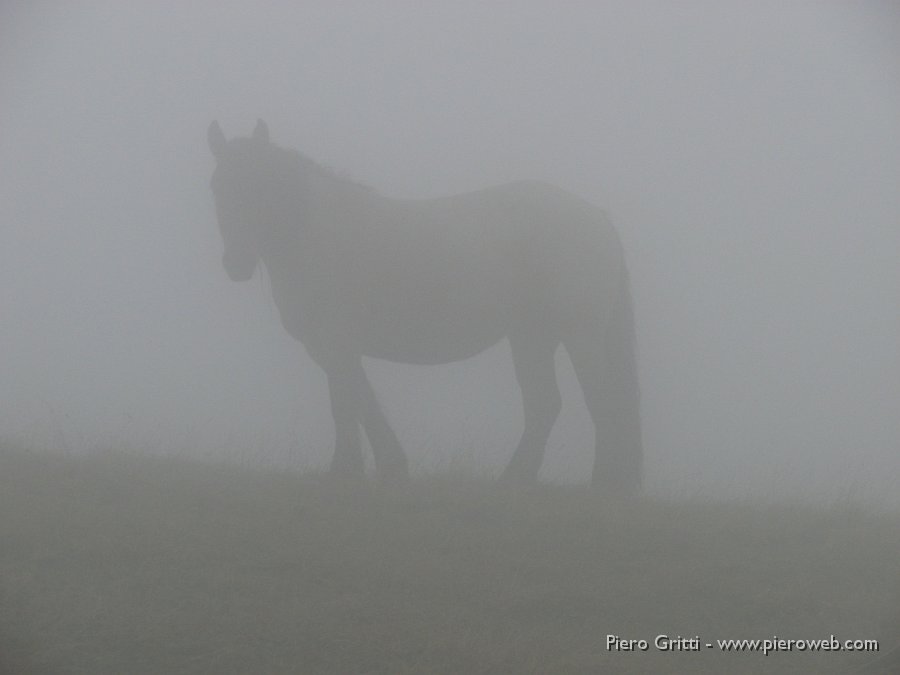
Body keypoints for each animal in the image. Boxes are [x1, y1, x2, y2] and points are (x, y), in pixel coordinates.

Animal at [206, 120, 640, 492]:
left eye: (260, 185)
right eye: (217, 188)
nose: (237, 264)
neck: (312, 234)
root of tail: (597, 219)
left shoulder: (337, 343)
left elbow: (348, 402)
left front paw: (353, 470)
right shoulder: (328, 348)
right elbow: (357, 401)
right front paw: (378, 467)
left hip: (579, 336)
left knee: (599, 400)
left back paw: (601, 482)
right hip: (531, 338)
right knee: (544, 404)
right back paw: (514, 479)